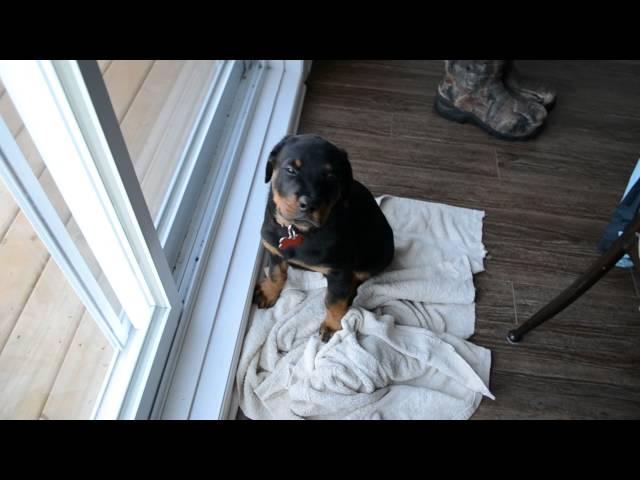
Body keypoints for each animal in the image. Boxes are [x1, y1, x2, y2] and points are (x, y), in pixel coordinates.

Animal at [255, 133, 396, 340]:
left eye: (331, 177)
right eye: (290, 170)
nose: (309, 204)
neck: (298, 231)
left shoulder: (339, 271)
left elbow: (334, 300)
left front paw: (332, 325)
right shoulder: (274, 250)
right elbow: (275, 274)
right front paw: (268, 292)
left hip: (375, 257)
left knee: (357, 279)